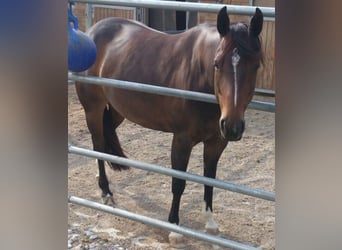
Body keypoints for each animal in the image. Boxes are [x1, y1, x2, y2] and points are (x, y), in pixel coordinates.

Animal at [76, 6, 264, 242]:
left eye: (256, 65)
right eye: (217, 63)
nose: (232, 126)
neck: (199, 74)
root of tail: (92, 31)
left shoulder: (216, 142)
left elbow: (210, 179)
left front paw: (210, 223)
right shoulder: (182, 140)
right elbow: (178, 182)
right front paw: (174, 228)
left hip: (117, 112)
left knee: (103, 140)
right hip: (93, 109)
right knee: (98, 145)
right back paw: (106, 192)